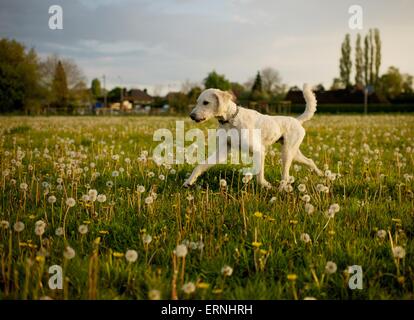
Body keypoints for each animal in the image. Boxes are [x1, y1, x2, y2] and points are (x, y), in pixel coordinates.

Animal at [184, 84, 324, 189]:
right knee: (310, 161)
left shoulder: (259, 150)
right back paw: (321, 174)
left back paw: (281, 190)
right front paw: (189, 181)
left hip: (287, 154)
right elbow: (200, 166)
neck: (231, 120)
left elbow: (259, 175)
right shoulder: (222, 152)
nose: (191, 116)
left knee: (285, 175)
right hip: (293, 153)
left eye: (206, 102)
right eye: (197, 102)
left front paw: (266, 186)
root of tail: (297, 120)